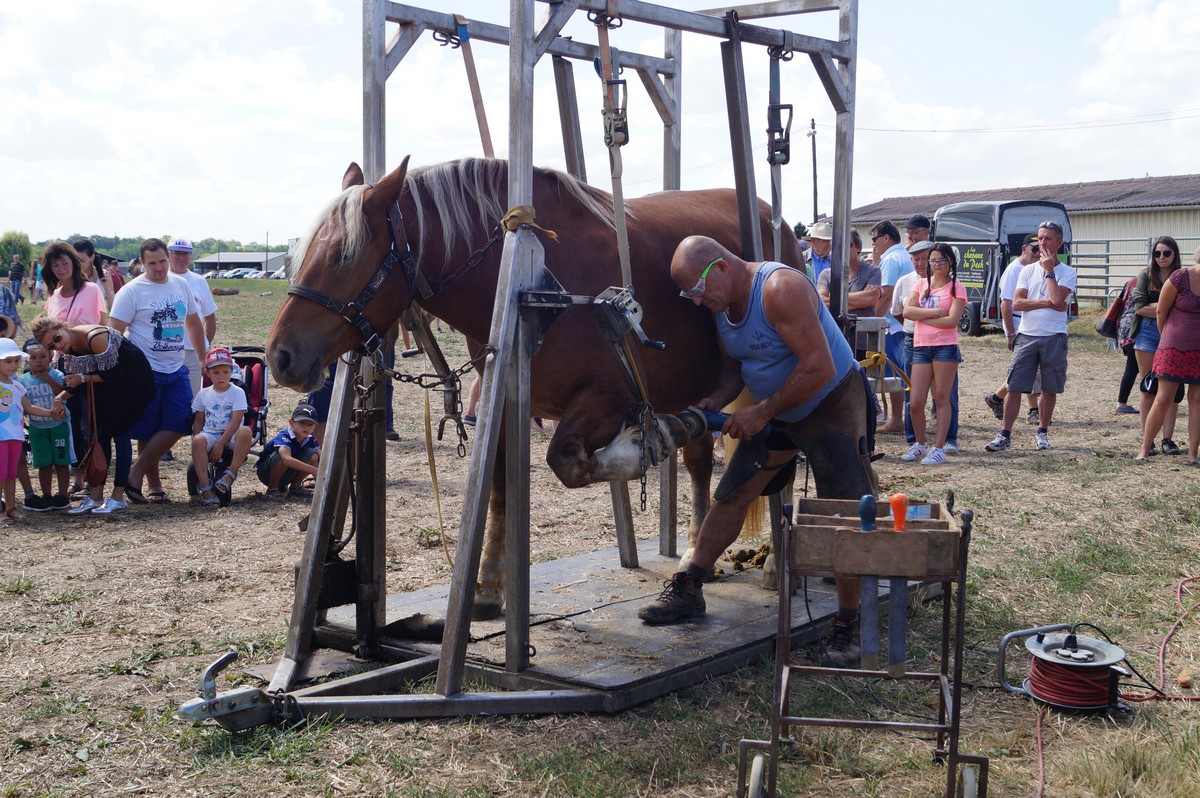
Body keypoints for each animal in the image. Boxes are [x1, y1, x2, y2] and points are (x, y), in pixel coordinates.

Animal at [267, 156, 801, 614]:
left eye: (342, 256)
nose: (279, 356)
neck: (539, 287)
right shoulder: (502, 403)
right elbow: (500, 485)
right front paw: (487, 586)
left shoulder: (610, 396)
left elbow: (569, 460)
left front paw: (648, 443)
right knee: (700, 464)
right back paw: (694, 547)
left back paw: (775, 564)